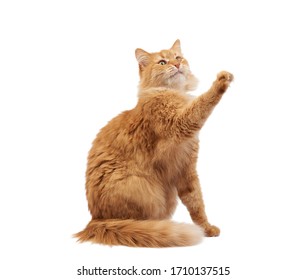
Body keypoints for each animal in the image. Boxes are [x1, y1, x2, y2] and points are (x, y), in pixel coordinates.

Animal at [75, 39, 233, 247]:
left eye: (178, 57)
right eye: (162, 62)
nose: (177, 64)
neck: (173, 93)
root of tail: (96, 220)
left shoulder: (187, 168)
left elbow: (196, 203)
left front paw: (206, 228)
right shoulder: (180, 123)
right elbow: (202, 102)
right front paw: (221, 81)